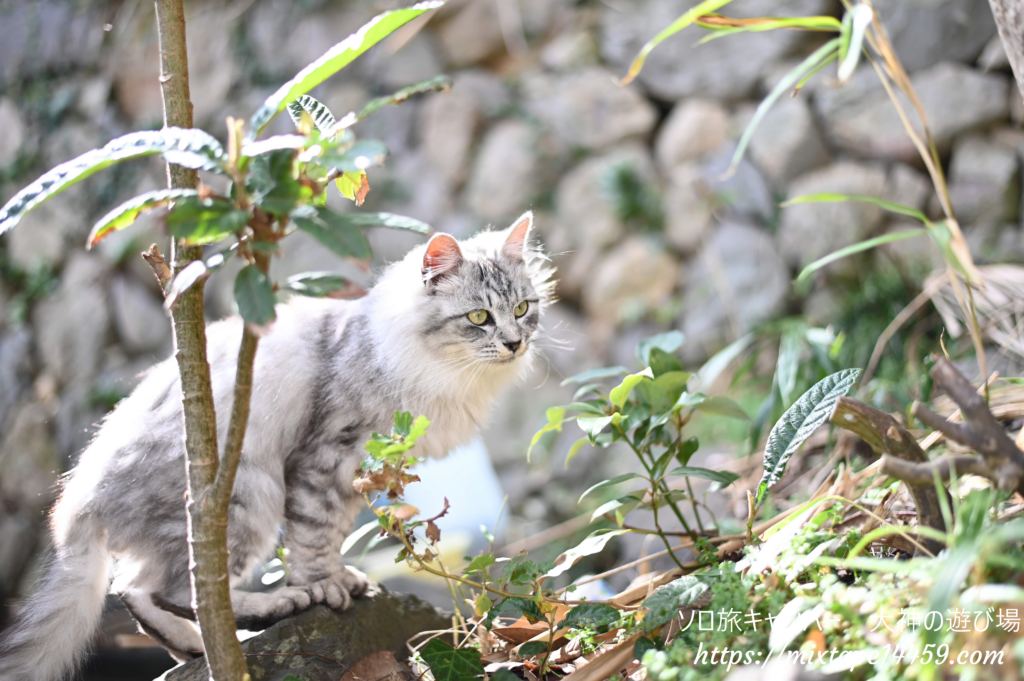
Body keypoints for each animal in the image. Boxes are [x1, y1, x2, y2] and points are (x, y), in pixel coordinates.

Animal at [0, 213, 552, 679]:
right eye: (478, 317)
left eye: (522, 309)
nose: (514, 343)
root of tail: (76, 507)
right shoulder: (326, 456)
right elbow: (313, 535)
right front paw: (322, 586)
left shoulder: (358, 474)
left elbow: (332, 533)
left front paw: (341, 578)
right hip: (243, 495)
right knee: (180, 589)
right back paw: (270, 609)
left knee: (136, 591)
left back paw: (198, 647)